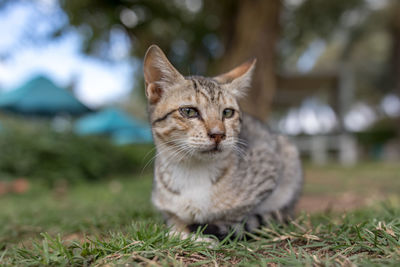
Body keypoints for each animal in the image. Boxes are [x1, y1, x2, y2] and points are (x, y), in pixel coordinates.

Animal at [142, 44, 302, 241]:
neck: (193, 171)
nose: (218, 134)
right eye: (189, 111)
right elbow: (174, 218)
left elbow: (236, 215)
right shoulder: (165, 206)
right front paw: (180, 231)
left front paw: (201, 233)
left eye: (227, 112)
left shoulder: (270, 167)